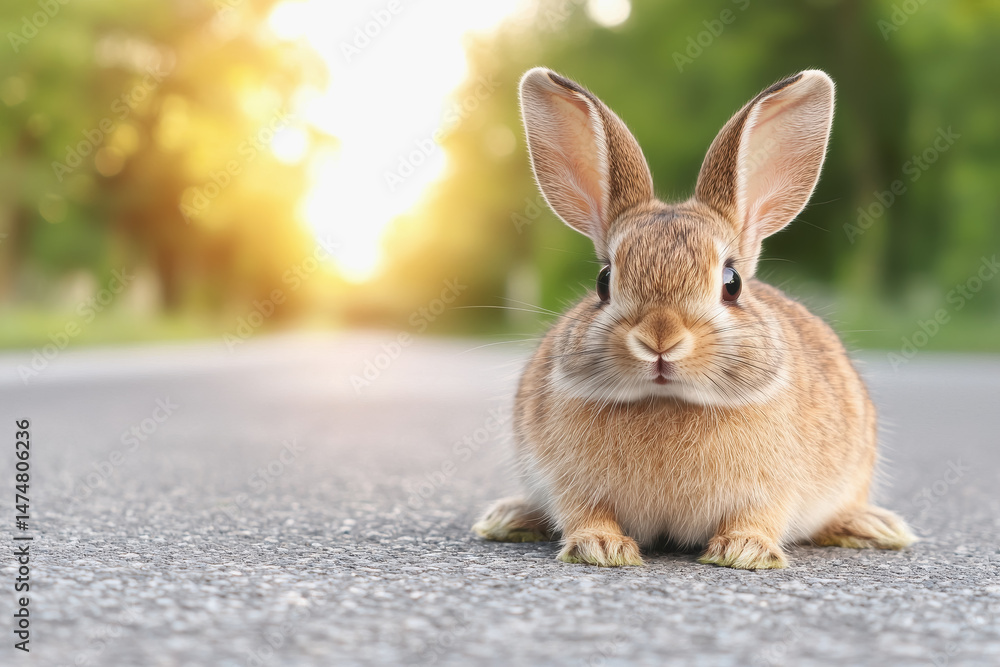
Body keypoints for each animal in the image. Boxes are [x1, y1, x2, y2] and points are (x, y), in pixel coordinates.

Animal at [472, 68, 915, 570]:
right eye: (604, 281)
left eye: (732, 283)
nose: (660, 338)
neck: (668, 400)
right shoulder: (570, 485)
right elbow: (585, 512)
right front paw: (600, 548)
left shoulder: (772, 491)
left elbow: (758, 517)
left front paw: (744, 552)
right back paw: (509, 518)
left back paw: (874, 527)